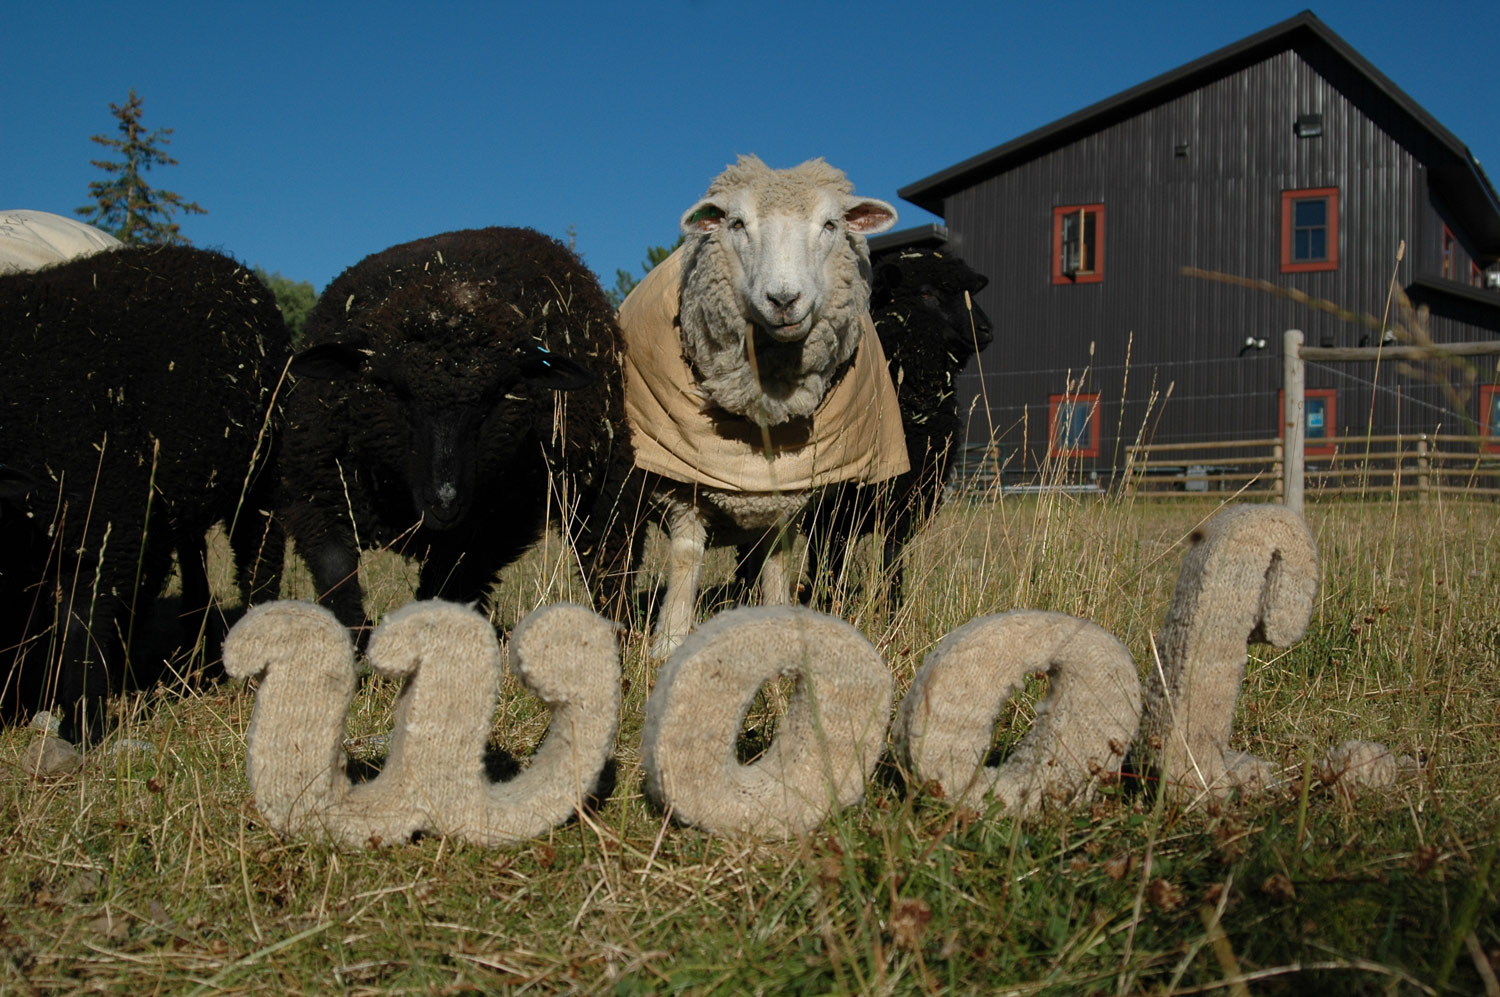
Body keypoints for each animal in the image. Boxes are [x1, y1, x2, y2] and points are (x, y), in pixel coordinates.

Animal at [0, 245, 291, 743]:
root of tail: (226, 263)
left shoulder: (102, 516)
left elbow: (82, 623)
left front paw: (83, 723)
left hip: (260, 476)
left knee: (259, 557)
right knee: (189, 566)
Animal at [277, 226, 635, 634]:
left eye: (497, 395)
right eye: (389, 389)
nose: (444, 501)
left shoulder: (491, 527)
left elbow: (446, 585)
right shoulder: (320, 498)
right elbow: (338, 579)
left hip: (604, 480)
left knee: (606, 552)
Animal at [616, 156, 906, 656]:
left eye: (830, 225)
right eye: (736, 223)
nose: (784, 299)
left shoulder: (788, 492)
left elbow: (778, 561)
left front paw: (779, 623)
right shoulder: (684, 485)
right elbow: (685, 556)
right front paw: (669, 641)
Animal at [802, 246, 994, 608]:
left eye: (971, 293)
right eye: (925, 294)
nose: (986, 329)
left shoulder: (902, 501)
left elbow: (891, 566)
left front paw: (892, 614)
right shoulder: (828, 509)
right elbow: (826, 566)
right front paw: (824, 607)